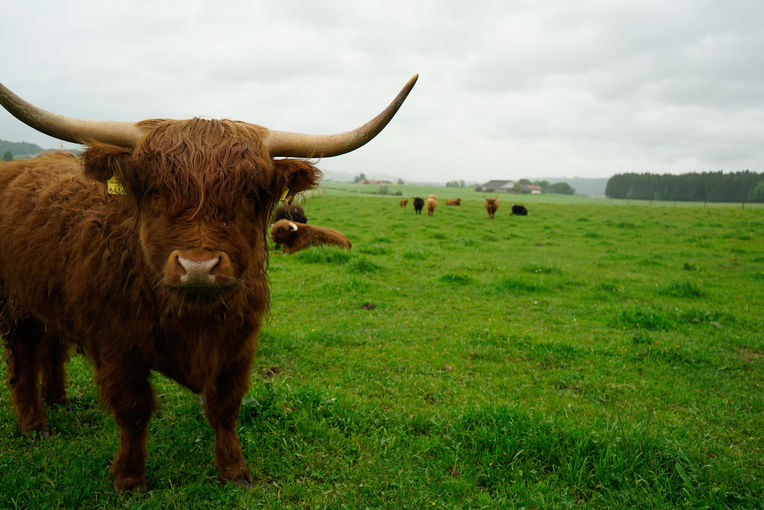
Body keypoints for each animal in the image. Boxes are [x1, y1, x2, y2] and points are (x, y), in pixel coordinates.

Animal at [0, 74, 418, 490]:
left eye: (249, 194)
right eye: (155, 191)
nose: (198, 267)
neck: (192, 318)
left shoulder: (240, 344)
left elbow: (225, 407)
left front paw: (234, 471)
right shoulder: (115, 344)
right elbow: (133, 409)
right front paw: (130, 478)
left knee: (53, 348)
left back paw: (59, 399)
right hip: (16, 306)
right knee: (24, 361)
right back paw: (35, 425)